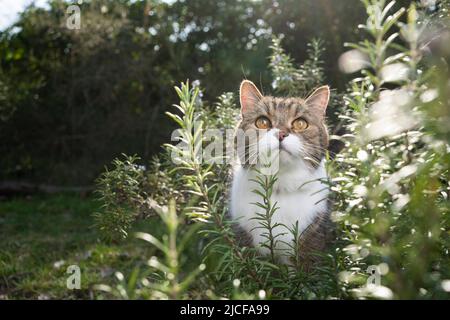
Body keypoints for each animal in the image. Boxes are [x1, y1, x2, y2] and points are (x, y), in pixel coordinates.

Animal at [230, 80, 332, 268]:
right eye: (262, 122)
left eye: (301, 124)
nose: (281, 133)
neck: (279, 185)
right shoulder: (244, 237)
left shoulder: (311, 238)